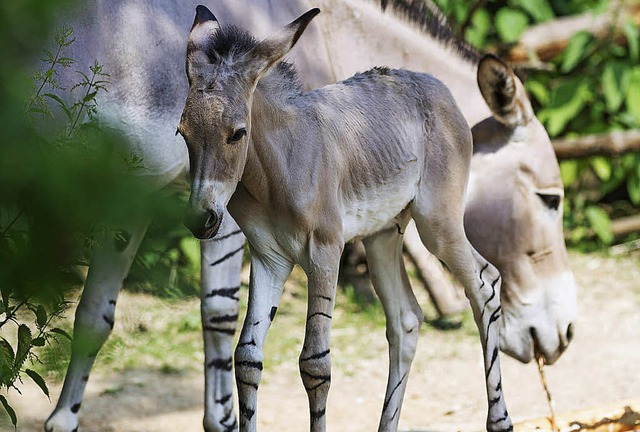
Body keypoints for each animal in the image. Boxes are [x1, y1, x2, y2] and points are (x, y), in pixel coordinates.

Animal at [180, 6, 516, 432]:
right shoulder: (269, 259)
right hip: (383, 235)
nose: (201, 220)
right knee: (406, 318)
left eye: (237, 133)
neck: (278, 167)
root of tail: (433, 83)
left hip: (438, 225)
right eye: (182, 132)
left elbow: (315, 363)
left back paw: (500, 419)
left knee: (486, 284)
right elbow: (247, 358)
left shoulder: (325, 252)